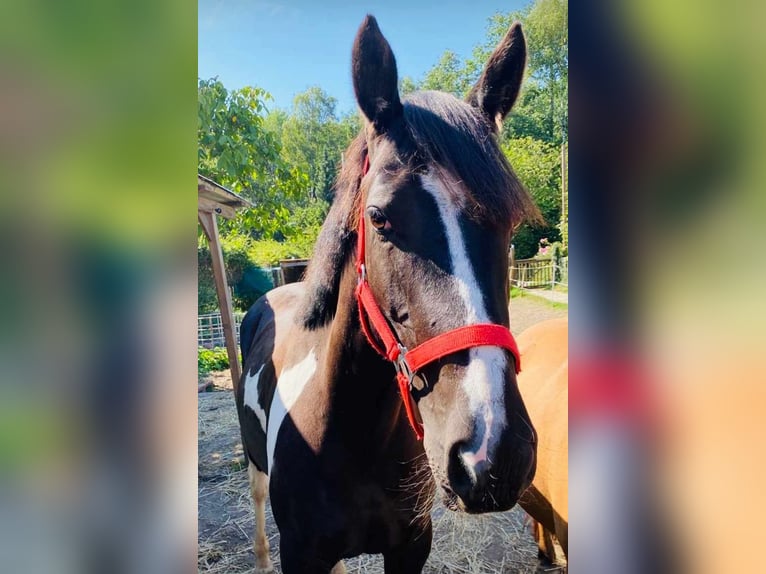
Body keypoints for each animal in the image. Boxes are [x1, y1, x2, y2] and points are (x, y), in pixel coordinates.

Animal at [237, 14, 544, 574]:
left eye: (510, 224)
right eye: (378, 217)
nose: (493, 454)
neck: (353, 433)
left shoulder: (410, 546)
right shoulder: (300, 552)